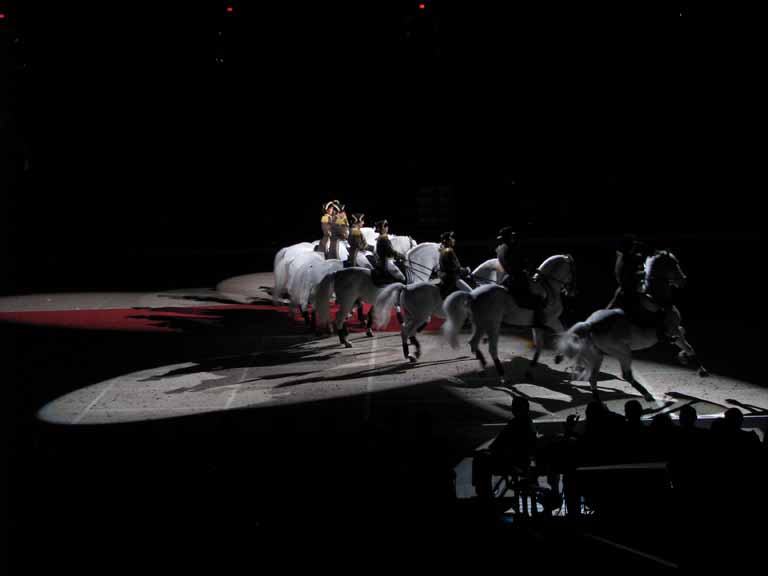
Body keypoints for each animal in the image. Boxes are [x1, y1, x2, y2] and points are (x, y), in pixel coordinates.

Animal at [440, 255, 572, 382]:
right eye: (573, 270)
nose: (571, 291)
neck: (549, 289)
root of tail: (472, 296)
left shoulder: (537, 325)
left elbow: (539, 346)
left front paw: (530, 372)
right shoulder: (552, 320)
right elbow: (564, 333)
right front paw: (559, 357)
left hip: (480, 325)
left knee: (474, 343)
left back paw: (483, 368)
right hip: (493, 324)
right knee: (491, 349)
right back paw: (502, 375)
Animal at [552, 250, 708, 402]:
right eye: (674, 264)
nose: (683, 280)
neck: (659, 298)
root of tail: (590, 323)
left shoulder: (675, 331)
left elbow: (684, 335)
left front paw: (682, 357)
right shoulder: (673, 329)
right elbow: (689, 346)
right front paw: (701, 370)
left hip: (598, 355)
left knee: (593, 377)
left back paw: (599, 400)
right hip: (623, 352)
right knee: (626, 375)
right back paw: (647, 396)